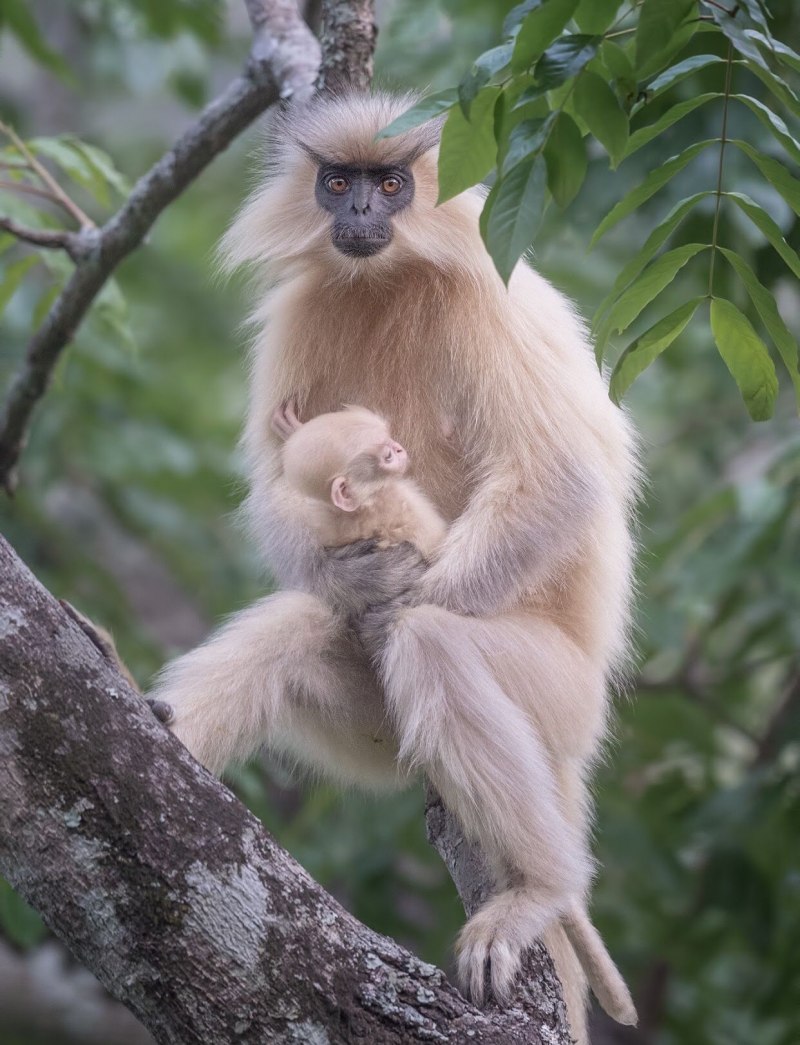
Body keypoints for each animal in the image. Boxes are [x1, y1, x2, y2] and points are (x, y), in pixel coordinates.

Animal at [271, 401, 634, 1028]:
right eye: (379, 451)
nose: (398, 450)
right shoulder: (391, 506)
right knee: (423, 639)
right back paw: (544, 888)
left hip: (560, 693)